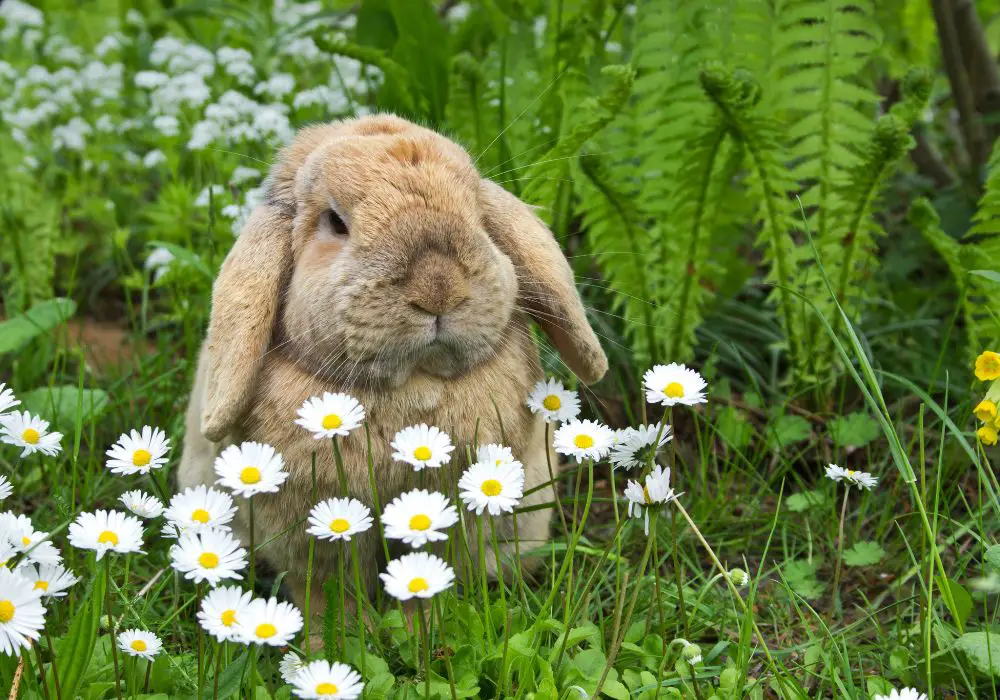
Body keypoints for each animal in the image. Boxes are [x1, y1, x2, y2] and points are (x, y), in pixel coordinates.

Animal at [178, 113, 608, 620]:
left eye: (477, 214)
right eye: (335, 222)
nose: (438, 288)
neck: (415, 387)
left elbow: (430, 577)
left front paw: (423, 625)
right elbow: (326, 593)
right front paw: (334, 634)